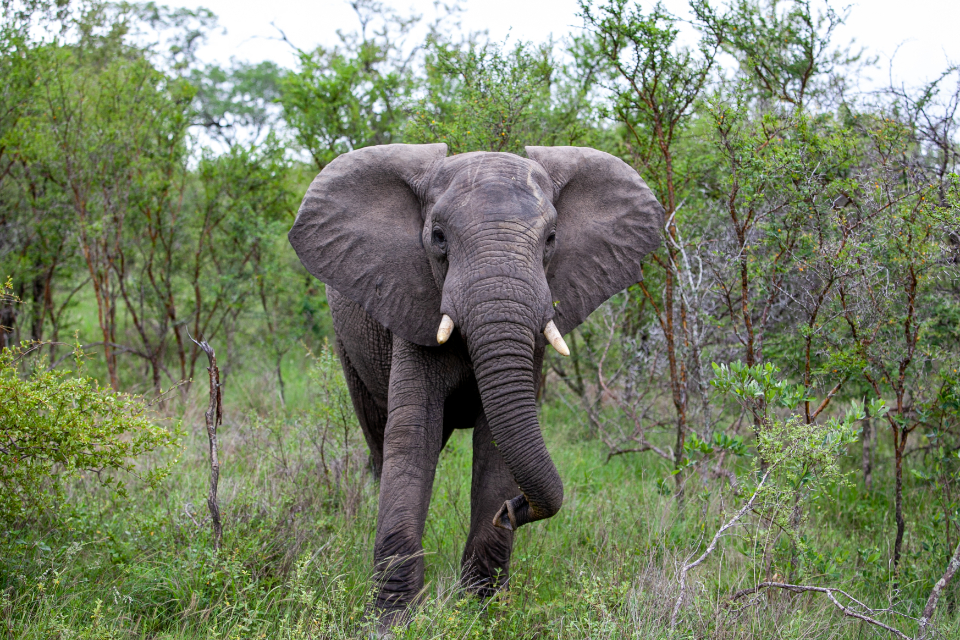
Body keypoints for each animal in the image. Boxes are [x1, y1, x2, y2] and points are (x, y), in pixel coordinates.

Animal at [288, 143, 663, 626]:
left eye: (551, 239)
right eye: (438, 238)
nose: (512, 511)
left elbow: (497, 445)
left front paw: (481, 612)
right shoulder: (414, 303)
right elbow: (413, 436)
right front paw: (393, 621)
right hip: (346, 342)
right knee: (377, 434)